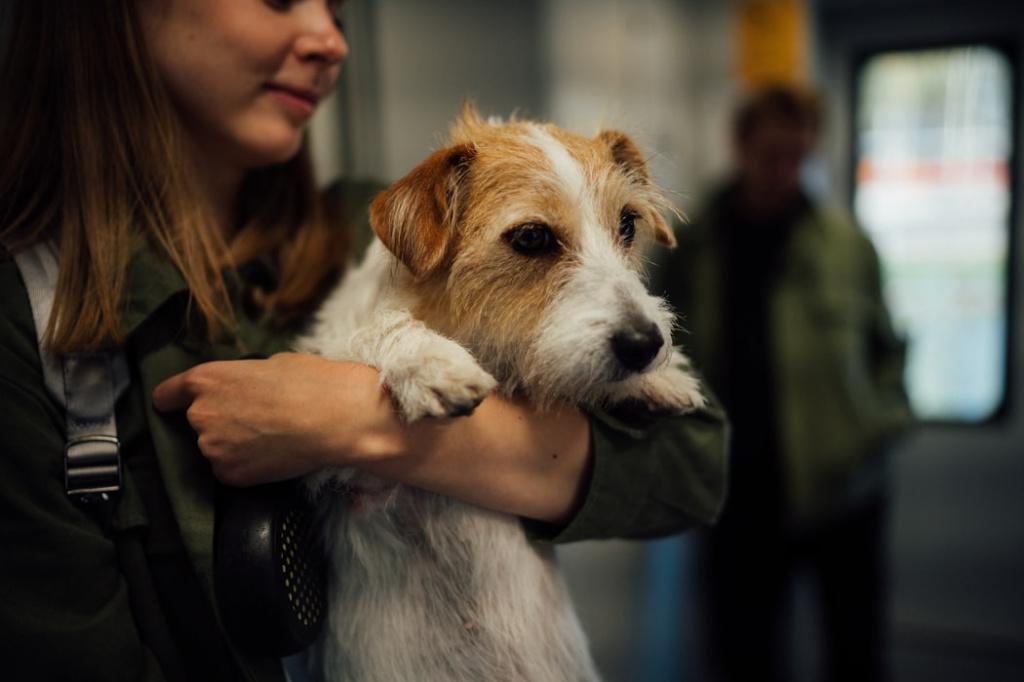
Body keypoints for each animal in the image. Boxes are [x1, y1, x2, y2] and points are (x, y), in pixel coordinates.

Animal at [296, 107, 704, 679]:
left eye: (627, 224)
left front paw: (658, 380)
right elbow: (368, 331)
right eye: (531, 237)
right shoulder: (328, 470)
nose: (645, 345)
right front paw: (430, 361)